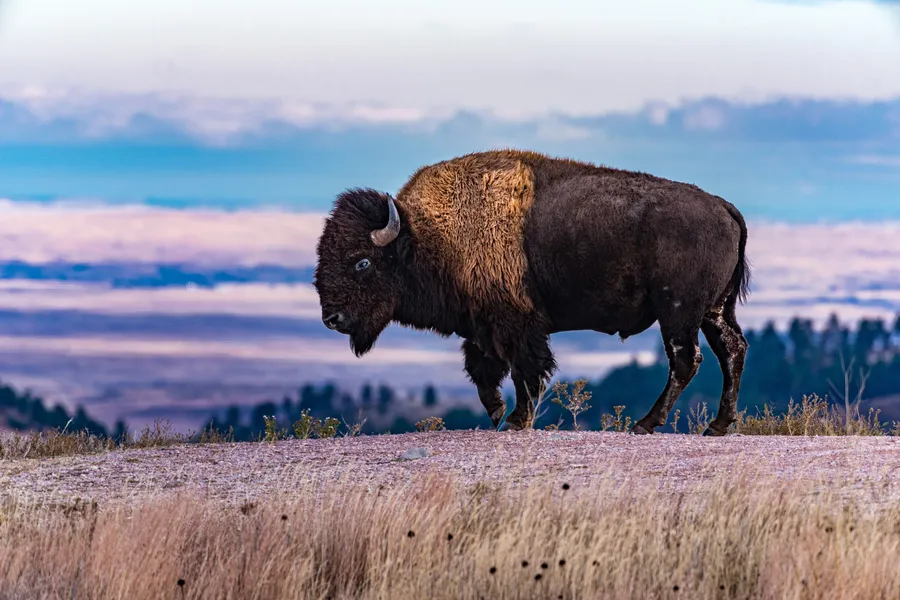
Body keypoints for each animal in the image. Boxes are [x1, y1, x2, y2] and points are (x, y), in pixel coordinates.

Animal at [313, 149, 749, 436]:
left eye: (362, 262)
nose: (331, 318)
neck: (427, 235)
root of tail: (723, 207)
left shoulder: (515, 325)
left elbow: (525, 370)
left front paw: (514, 420)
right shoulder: (482, 326)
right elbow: (483, 370)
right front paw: (496, 412)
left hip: (678, 312)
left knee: (686, 360)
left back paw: (646, 424)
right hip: (713, 311)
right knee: (732, 350)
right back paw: (717, 426)